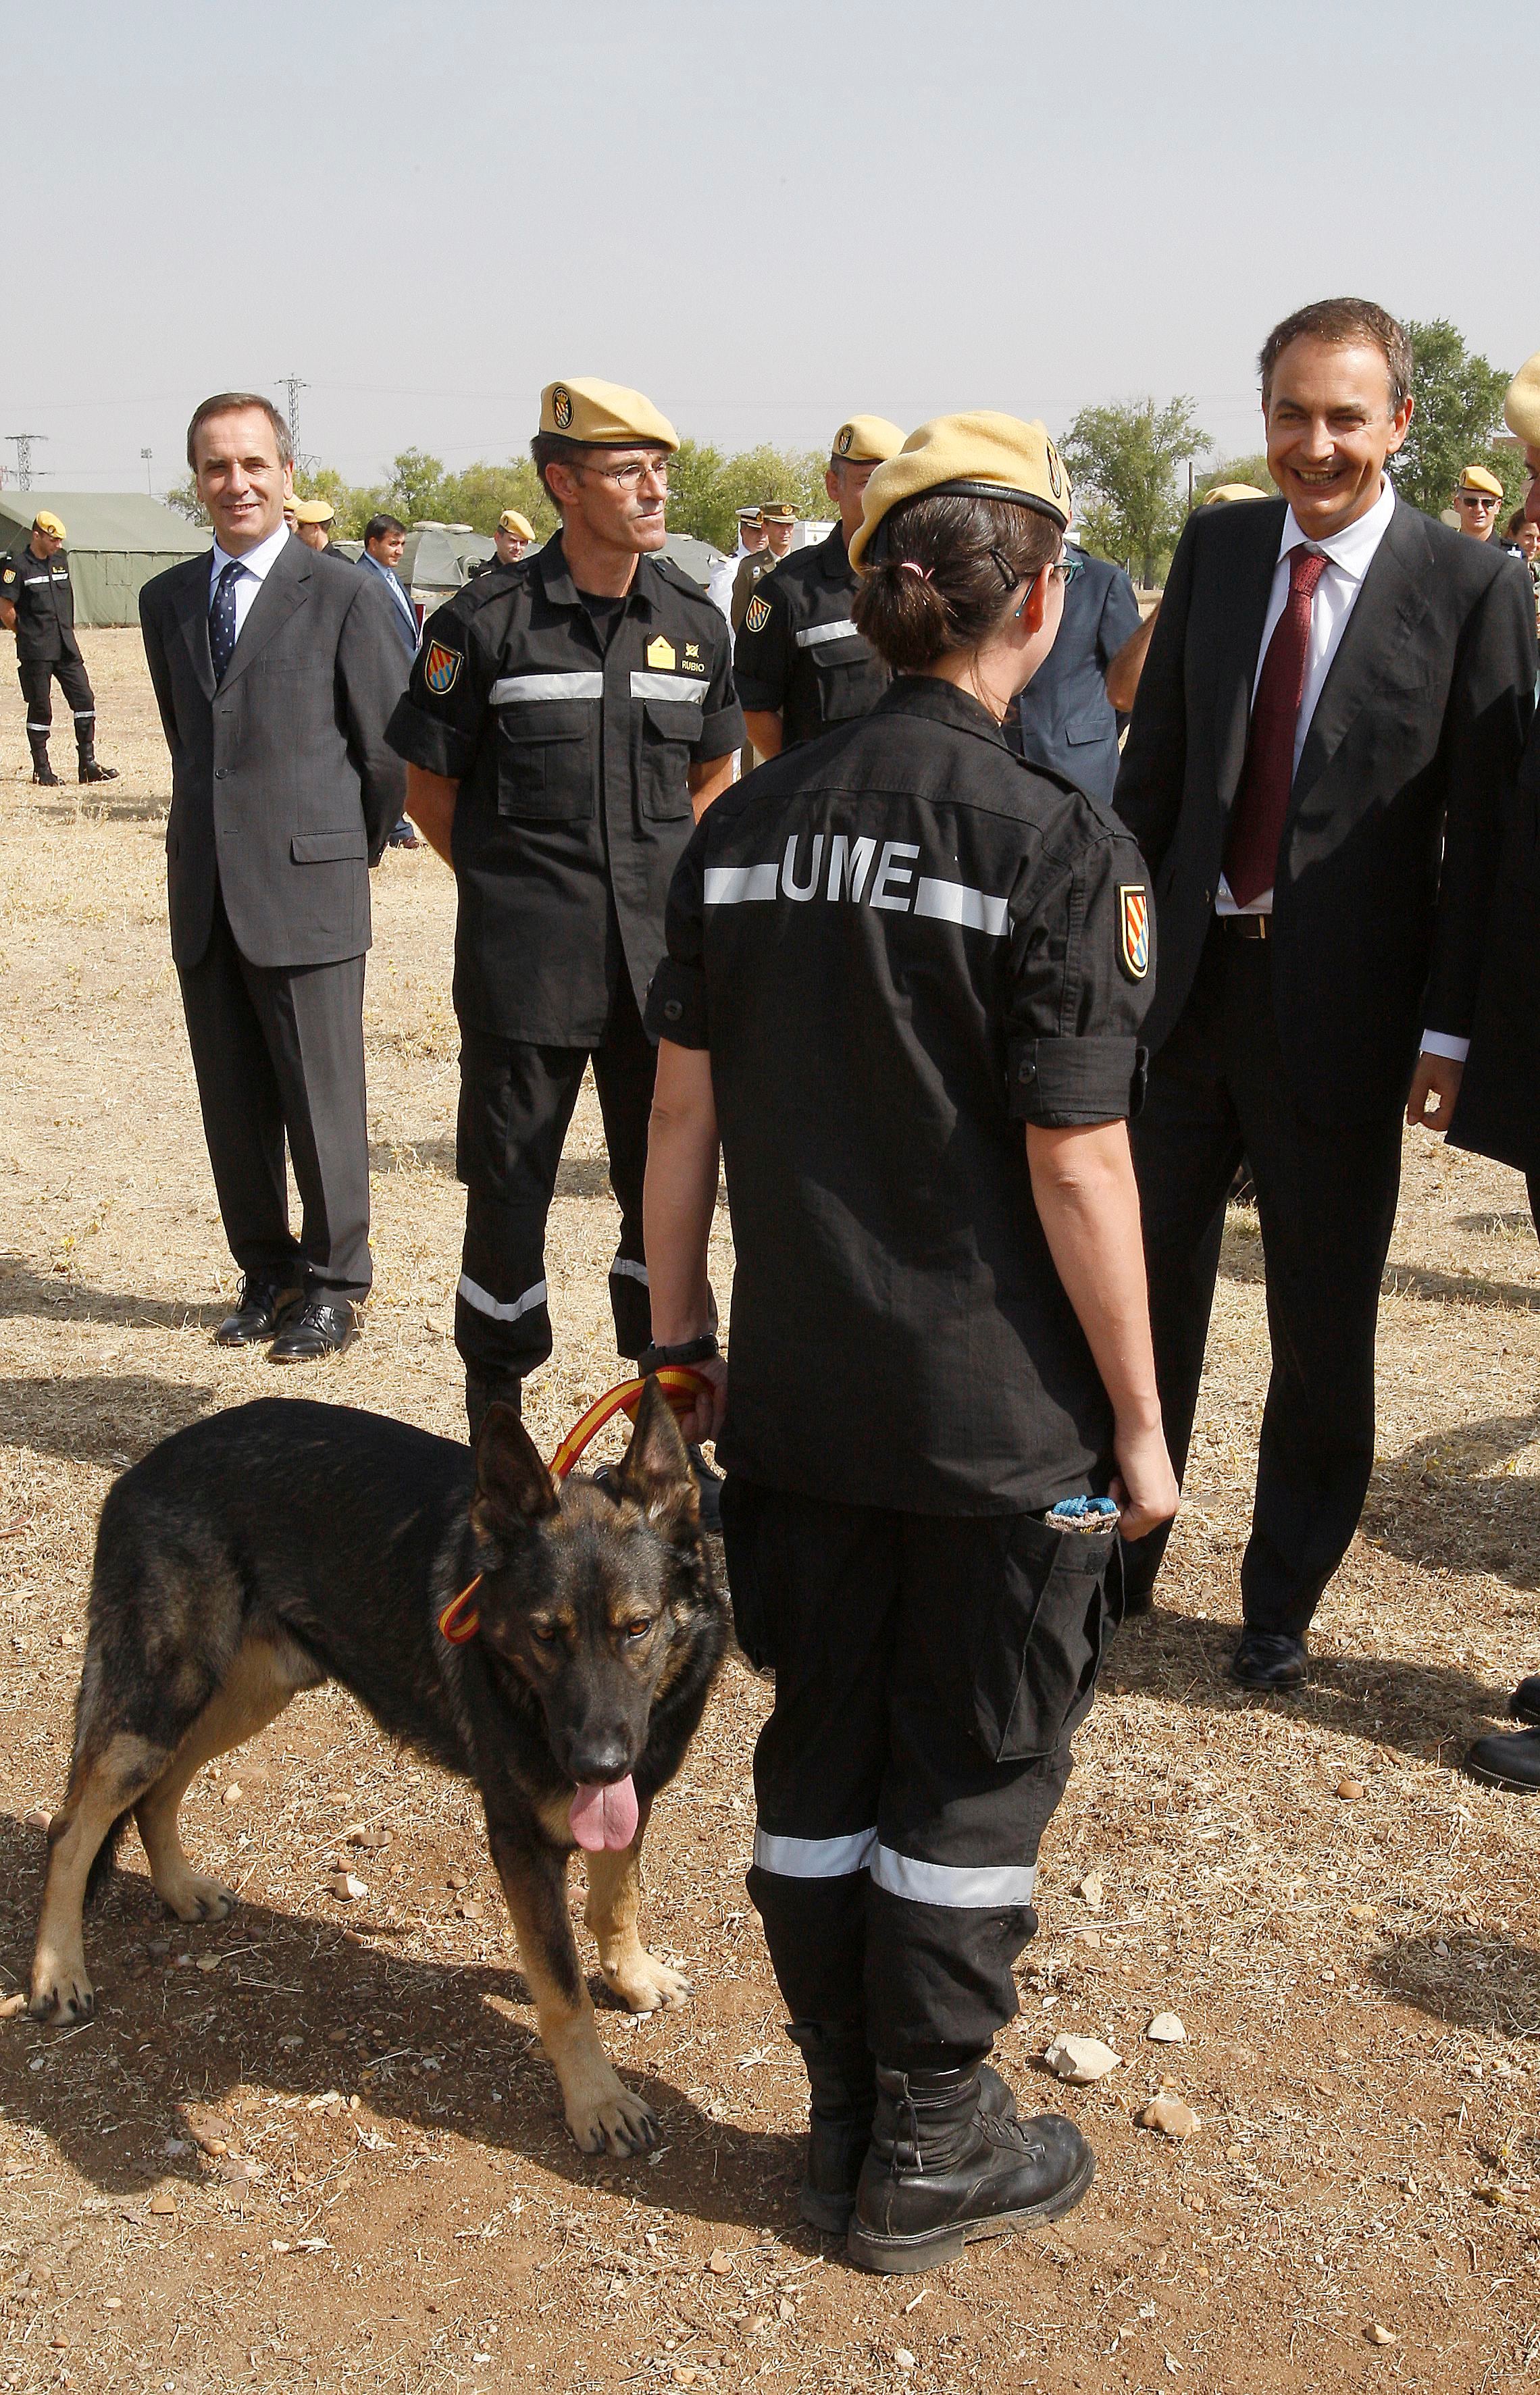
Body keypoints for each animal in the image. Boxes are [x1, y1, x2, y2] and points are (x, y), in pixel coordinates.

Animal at [28, 1379, 727, 2165]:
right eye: (547, 1635)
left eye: (637, 1628)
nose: (597, 1764)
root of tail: (144, 1468)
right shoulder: (521, 1843)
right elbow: (562, 1989)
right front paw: (598, 2101)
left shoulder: (627, 1802)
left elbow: (615, 1903)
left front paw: (631, 1976)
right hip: (157, 1703)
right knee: (72, 1826)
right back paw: (58, 1972)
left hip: (242, 1696)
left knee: (159, 1793)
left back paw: (179, 1890)